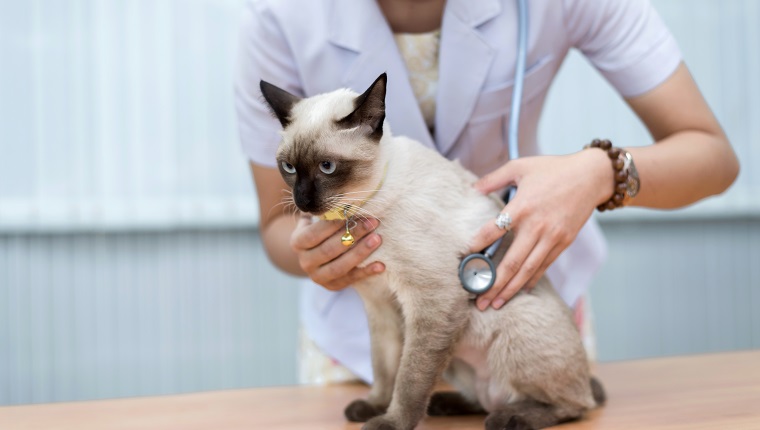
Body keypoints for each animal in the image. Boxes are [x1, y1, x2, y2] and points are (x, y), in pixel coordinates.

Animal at [262, 74, 604, 430]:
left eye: (327, 167)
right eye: (288, 167)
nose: (302, 202)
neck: (359, 210)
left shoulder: (434, 301)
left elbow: (409, 379)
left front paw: (391, 423)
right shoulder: (380, 303)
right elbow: (384, 368)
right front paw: (374, 407)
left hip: (508, 322)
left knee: (576, 404)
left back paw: (508, 417)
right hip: (454, 352)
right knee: (483, 398)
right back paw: (448, 404)